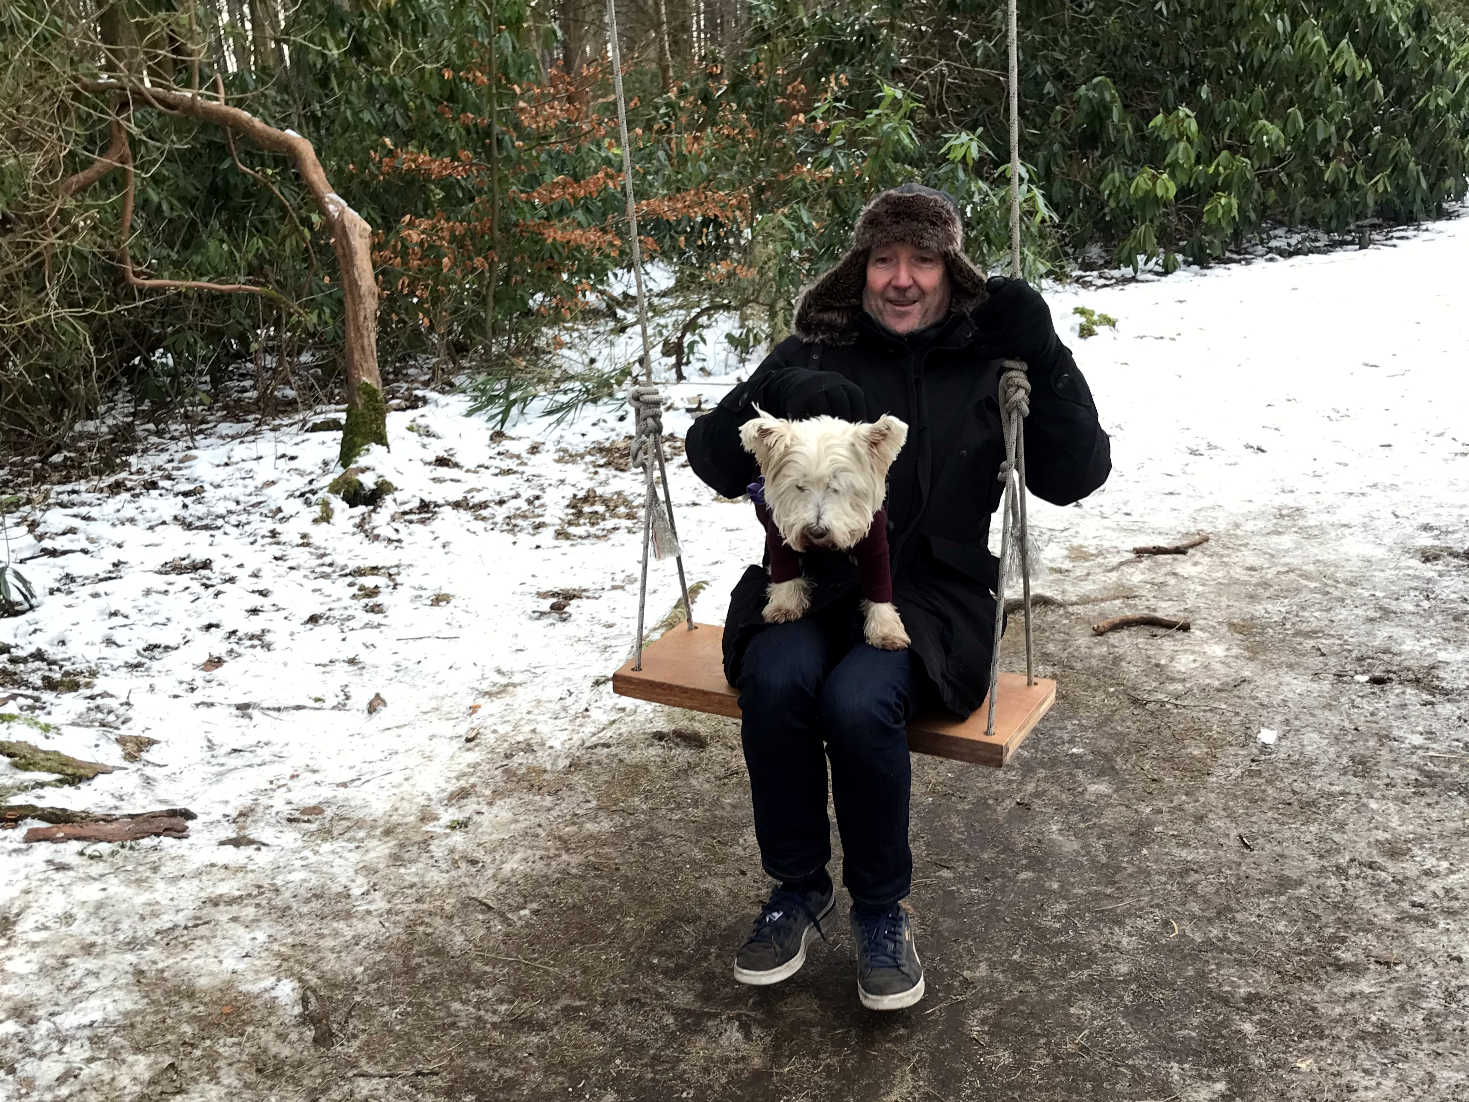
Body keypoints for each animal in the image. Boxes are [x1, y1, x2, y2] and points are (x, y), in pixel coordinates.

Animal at [740, 411, 910, 652]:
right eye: (799, 486)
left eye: (837, 486)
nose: (816, 531)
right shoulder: (779, 535)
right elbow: (785, 570)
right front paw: (784, 604)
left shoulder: (875, 544)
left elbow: (879, 583)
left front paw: (886, 629)